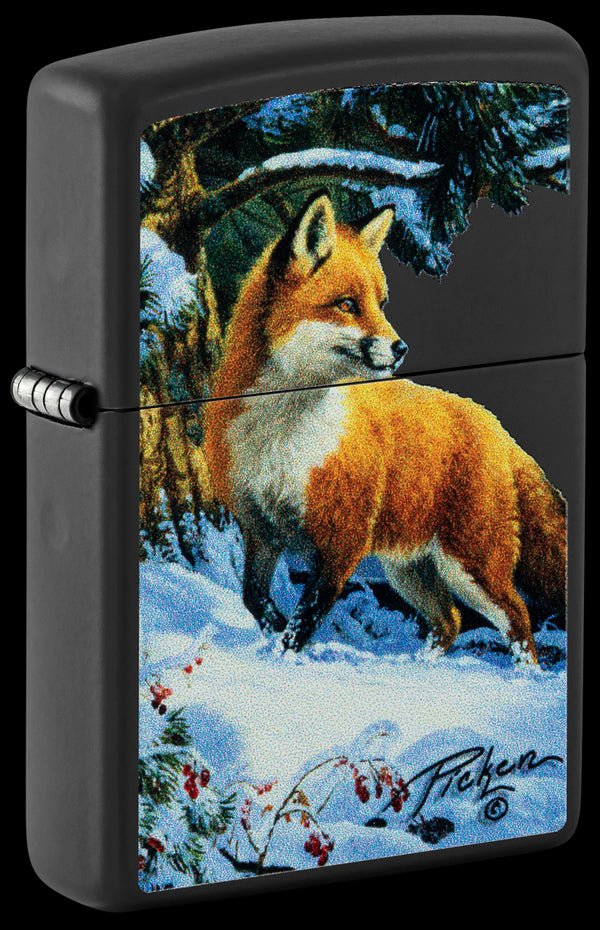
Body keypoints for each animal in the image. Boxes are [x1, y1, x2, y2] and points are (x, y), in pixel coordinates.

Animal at [203, 190, 566, 665]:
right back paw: (422, 669)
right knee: (449, 621)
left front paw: (285, 661)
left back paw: (526, 674)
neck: (280, 435)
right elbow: (255, 600)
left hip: (470, 565)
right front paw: (272, 645)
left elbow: (306, 618)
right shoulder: (260, 531)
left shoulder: (343, 541)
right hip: (409, 569)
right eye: (347, 304)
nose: (401, 348)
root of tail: (492, 422)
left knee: (518, 618)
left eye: (381, 303)